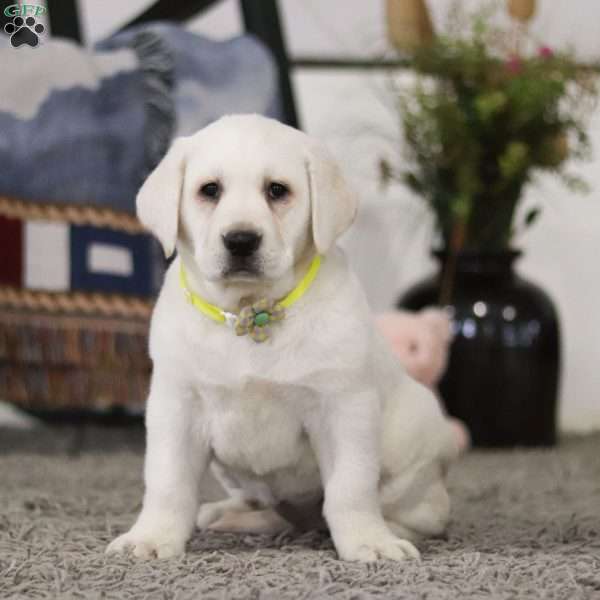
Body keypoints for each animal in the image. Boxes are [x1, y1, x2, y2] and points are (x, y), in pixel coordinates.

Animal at [105, 112, 458, 564]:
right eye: (210, 190)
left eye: (277, 190)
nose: (240, 240)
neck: (249, 311)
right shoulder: (177, 405)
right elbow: (168, 482)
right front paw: (152, 537)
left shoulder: (344, 407)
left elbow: (351, 488)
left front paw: (367, 540)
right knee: (272, 509)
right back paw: (228, 514)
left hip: (416, 440)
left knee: (420, 515)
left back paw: (382, 529)